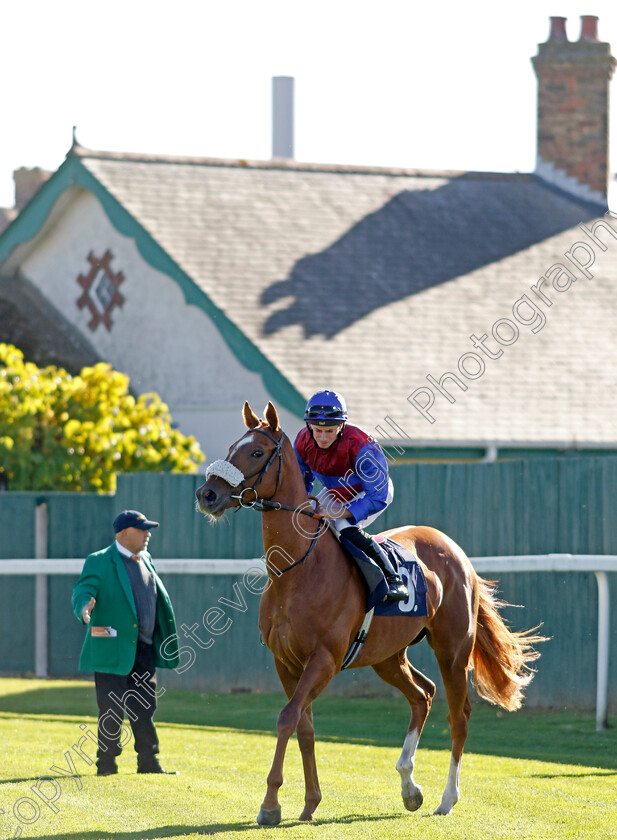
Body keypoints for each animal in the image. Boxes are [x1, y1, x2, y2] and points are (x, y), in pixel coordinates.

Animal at [195, 404, 540, 824]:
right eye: (232, 446)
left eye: (257, 452)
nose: (207, 494)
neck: (296, 570)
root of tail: (455, 551)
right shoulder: (285, 662)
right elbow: (304, 725)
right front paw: (310, 803)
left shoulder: (324, 660)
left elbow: (287, 717)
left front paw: (271, 804)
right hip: (387, 657)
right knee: (422, 695)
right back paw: (409, 786)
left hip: (452, 650)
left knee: (458, 716)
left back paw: (446, 799)